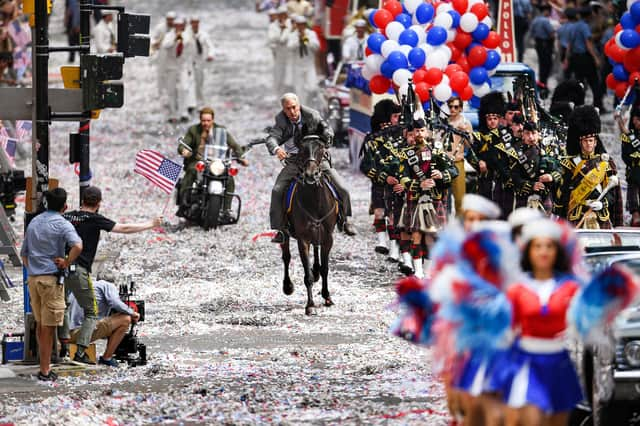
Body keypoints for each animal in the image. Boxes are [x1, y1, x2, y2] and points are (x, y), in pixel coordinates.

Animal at [282, 135, 340, 314]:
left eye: (321, 149)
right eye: (301, 149)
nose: (310, 174)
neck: (315, 201)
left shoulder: (328, 238)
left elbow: (325, 268)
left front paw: (327, 297)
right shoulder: (303, 239)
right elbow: (306, 274)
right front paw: (310, 305)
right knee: (286, 256)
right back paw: (287, 286)